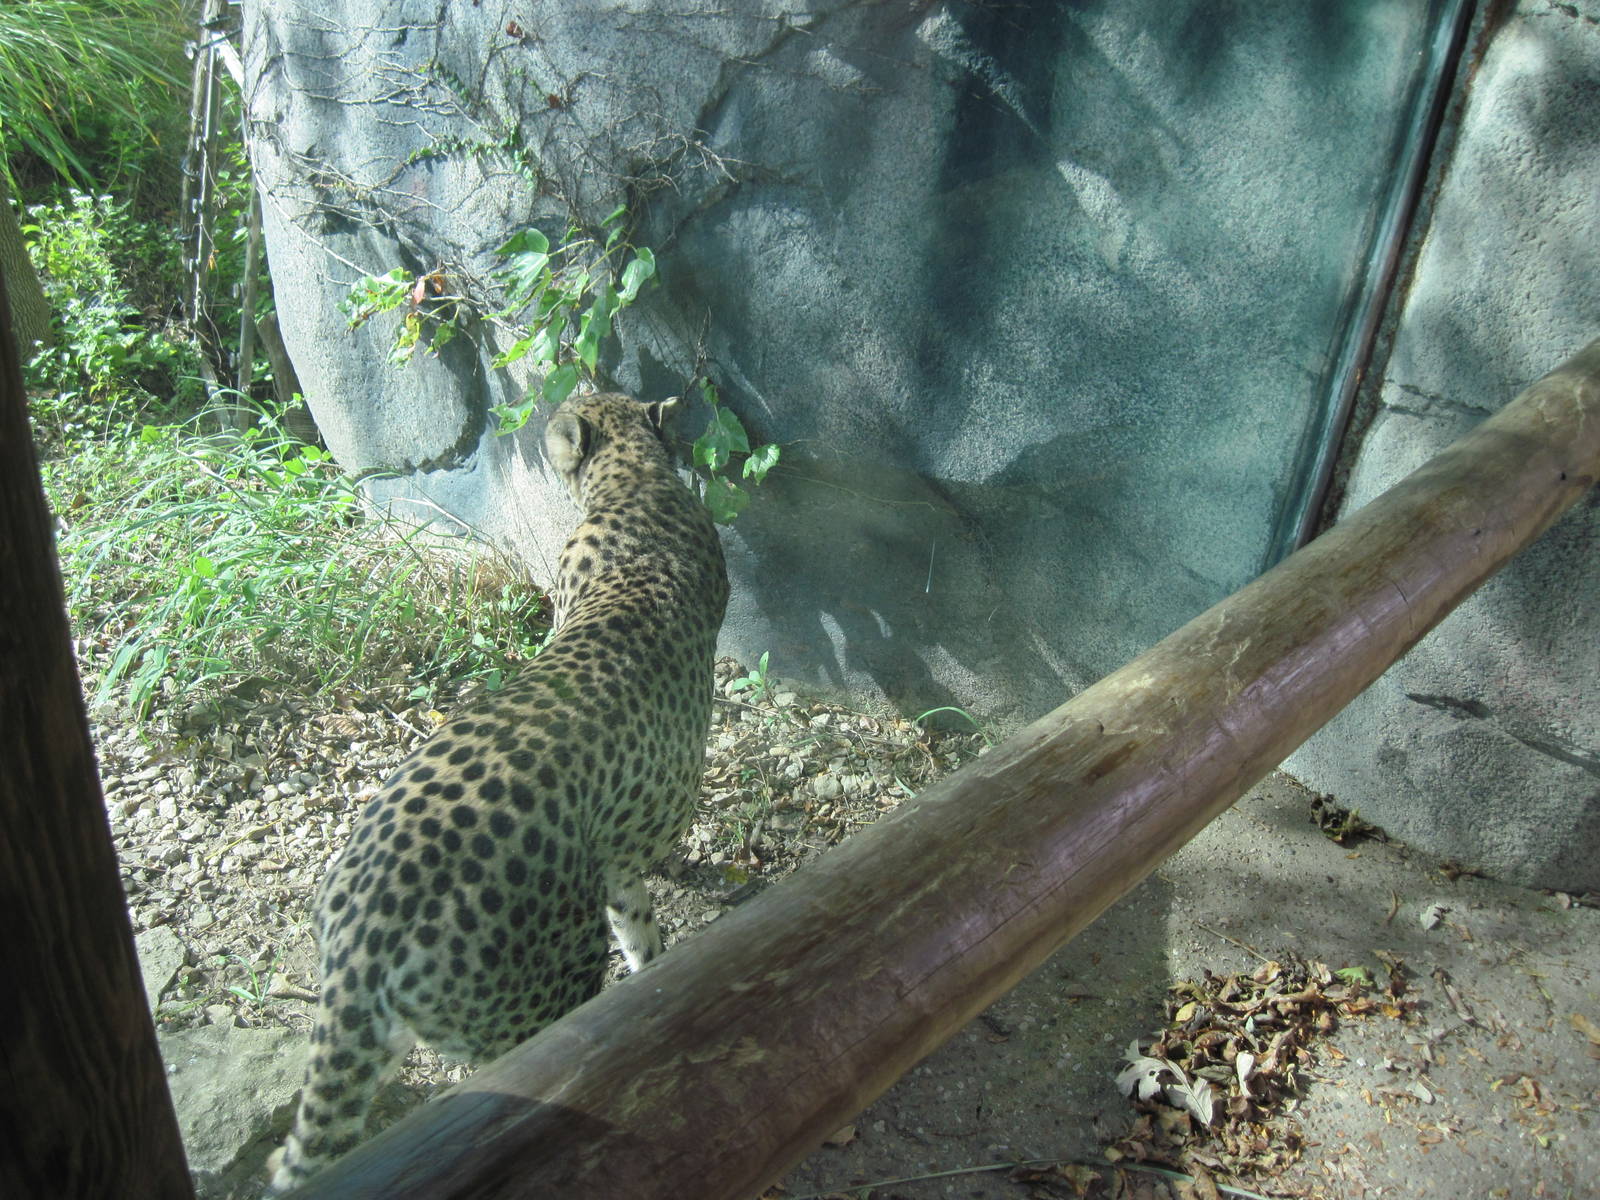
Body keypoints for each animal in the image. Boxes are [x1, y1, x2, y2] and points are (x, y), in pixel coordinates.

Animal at [266, 391, 728, 1193]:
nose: (547, 420)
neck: (635, 479)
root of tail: (361, 930)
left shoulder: (611, 862)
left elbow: (637, 918)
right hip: (540, 994)